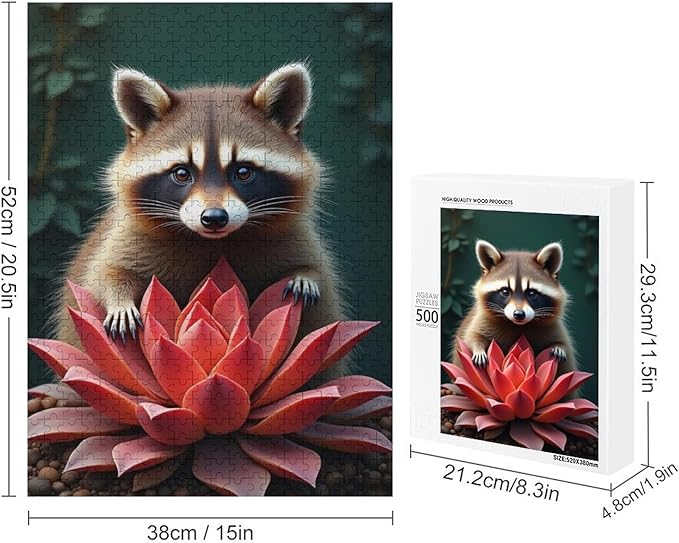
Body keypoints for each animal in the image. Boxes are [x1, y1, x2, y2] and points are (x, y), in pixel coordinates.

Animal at [54, 64, 347, 374]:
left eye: (243, 172)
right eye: (182, 173)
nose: (214, 218)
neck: (213, 241)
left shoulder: (294, 237)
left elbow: (316, 272)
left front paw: (305, 276)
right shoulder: (125, 236)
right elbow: (104, 273)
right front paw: (118, 300)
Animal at [451, 239, 576, 374]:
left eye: (531, 293)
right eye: (505, 291)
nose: (519, 314)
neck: (518, 326)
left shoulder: (554, 327)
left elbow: (563, 344)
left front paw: (559, 347)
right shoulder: (480, 320)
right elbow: (472, 336)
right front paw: (478, 348)